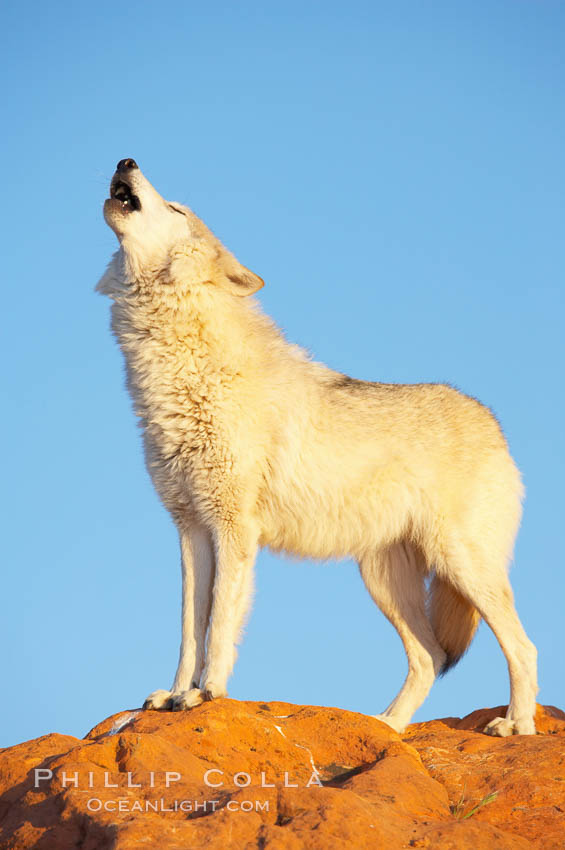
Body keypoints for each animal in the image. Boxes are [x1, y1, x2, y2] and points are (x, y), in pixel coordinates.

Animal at [98, 158, 538, 736]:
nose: (126, 161)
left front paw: (207, 693)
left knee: (523, 648)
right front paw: (174, 693)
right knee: (430, 658)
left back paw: (517, 725)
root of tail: (493, 423)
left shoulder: (233, 529)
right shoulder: (191, 530)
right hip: (384, 581)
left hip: (462, 566)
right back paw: (385, 728)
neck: (183, 373)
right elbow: (190, 629)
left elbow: (220, 624)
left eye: (177, 208)